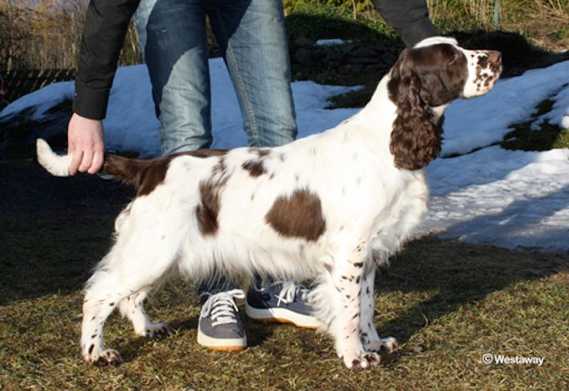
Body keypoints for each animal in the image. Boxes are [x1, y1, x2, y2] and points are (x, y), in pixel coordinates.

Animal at [35, 37, 500, 370]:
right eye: (452, 58)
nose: (496, 55)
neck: (386, 142)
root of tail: (152, 167)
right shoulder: (349, 252)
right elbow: (351, 311)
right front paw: (355, 357)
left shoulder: (369, 252)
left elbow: (367, 306)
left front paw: (375, 343)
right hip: (152, 248)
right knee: (99, 294)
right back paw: (97, 353)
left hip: (162, 251)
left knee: (130, 296)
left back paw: (149, 329)